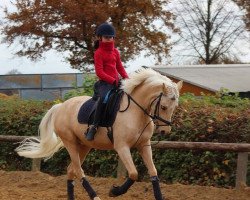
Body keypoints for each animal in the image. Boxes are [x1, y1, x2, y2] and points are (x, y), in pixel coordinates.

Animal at [16, 68, 183, 199]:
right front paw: (114, 191)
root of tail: (61, 106)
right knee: (78, 171)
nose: (164, 131)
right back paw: (95, 196)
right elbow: (133, 173)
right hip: (70, 142)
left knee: (71, 170)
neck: (136, 111)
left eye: (175, 106)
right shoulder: (122, 147)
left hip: (84, 146)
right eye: (163, 107)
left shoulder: (144, 145)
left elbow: (153, 173)